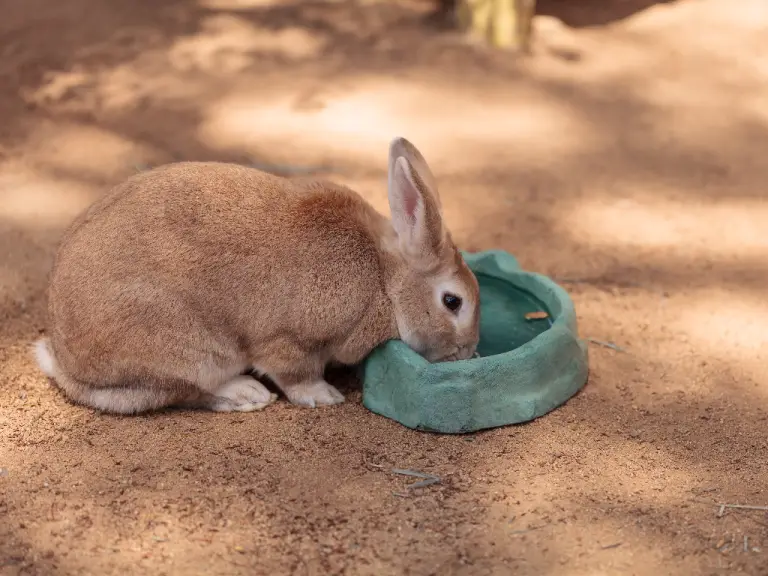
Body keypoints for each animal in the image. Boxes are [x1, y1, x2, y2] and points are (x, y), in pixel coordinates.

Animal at [36, 137, 484, 412]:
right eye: (453, 302)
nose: (467, 354)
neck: (384, 279)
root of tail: (64, 363)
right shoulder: (290, 340)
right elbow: (294, 372)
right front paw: (324, 396)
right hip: (188, 347)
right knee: (187, 391)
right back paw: (246, 394)